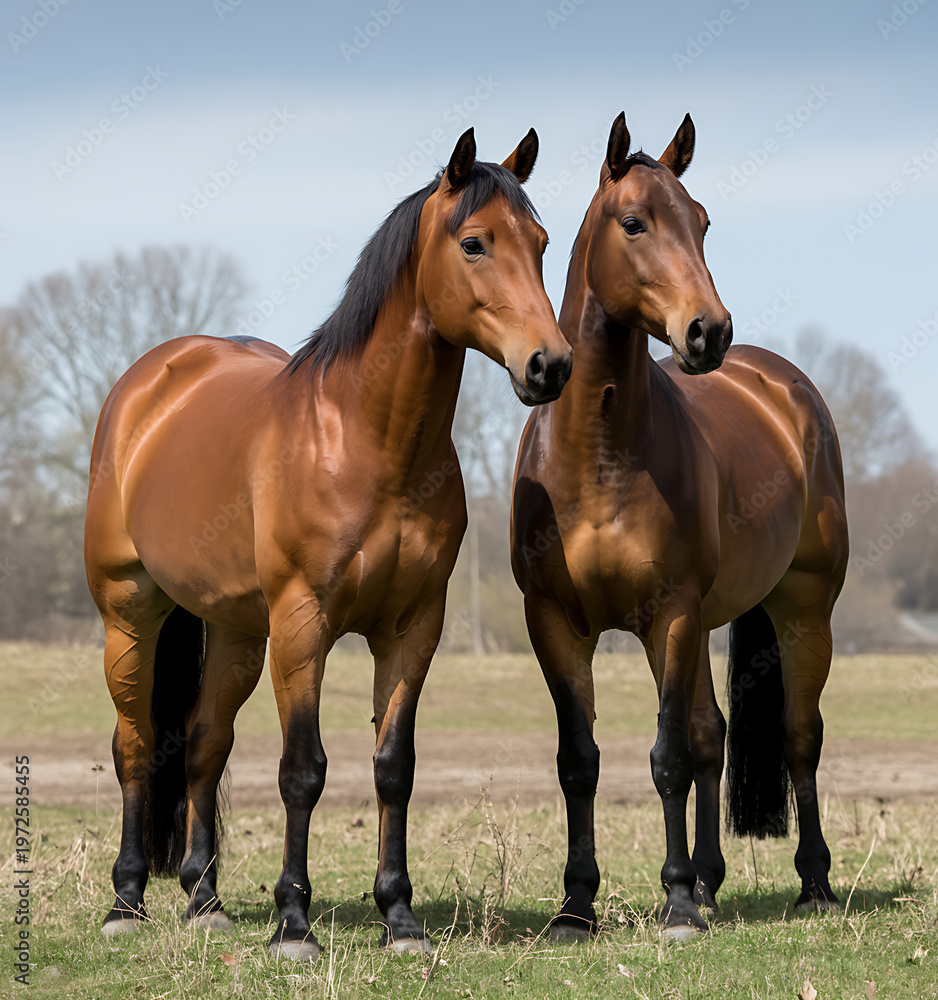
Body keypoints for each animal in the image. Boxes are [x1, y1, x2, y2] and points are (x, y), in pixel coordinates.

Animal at [84, 127, 573, 960]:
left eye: (540, 244)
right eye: (474, 243)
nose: (552, 364)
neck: (365, 440)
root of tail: (148, 385)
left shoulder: (412, 628)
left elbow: (393, 767)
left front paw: (400, 918)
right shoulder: (303, 624)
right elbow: (302, 770)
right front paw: (293, 923)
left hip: (237, 632)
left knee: (205, 746)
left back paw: (205, 899)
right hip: (131, 613)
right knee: (136, 745)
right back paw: (125, 902)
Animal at [511, 112, 848, 941]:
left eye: (701, 222)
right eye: (634, 222)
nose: (708, 333)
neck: (600, 459)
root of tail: (783, 386)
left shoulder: (669, 614)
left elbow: (665, 756)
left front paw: (675, 903)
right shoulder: (556, 623)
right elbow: (581, 760)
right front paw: (576, 906)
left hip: (801, 610)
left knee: (799, 736)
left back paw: (813, 885)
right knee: (712, 735)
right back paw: (712, 881)